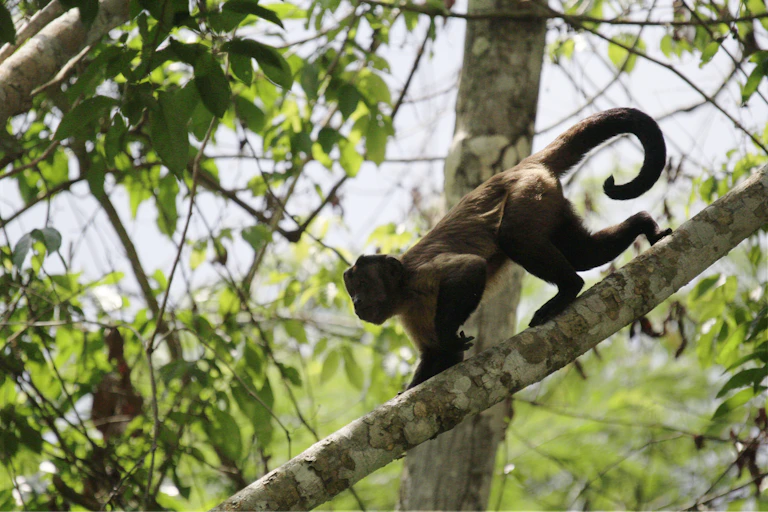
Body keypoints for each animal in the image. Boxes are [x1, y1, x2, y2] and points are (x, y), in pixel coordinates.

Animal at [343, 108, 672, 390]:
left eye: (363, 284)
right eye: (352, 291)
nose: (357, 302)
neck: (404, 290)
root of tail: (521, 165)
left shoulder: (418, 276)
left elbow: (469, 268)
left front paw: (450, 336)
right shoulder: (410, 312)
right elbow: (440, 356)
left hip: (528, 190)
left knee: (514, 238)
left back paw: (568, 287)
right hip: (551, 201)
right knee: (581, 253)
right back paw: (643, 224)